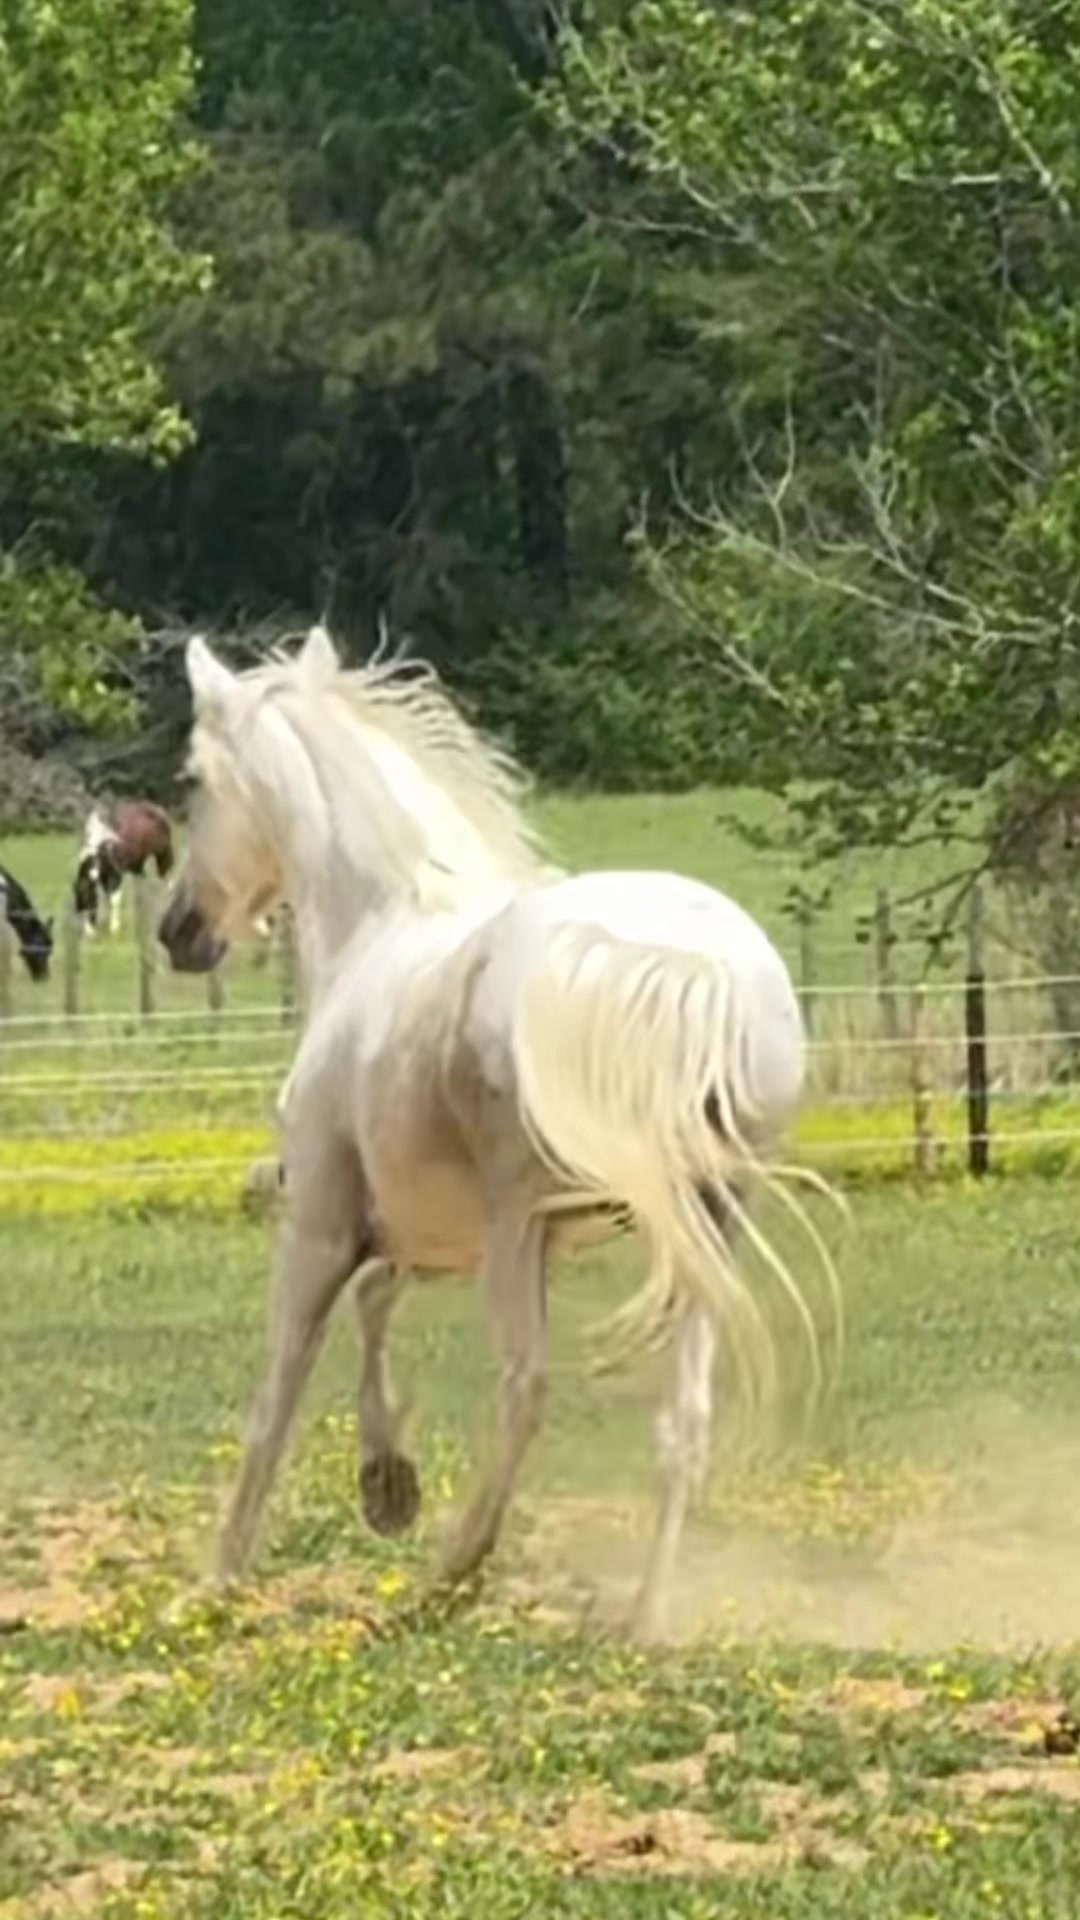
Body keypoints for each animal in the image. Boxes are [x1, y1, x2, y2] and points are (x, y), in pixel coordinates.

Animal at [73, 800, 174, 936]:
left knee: (167, 876)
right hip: (138, 862)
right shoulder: (104, 875)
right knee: (141, 881)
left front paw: (114, 928)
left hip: (164, 853)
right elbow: (108, 899)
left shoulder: (116, 874)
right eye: (80, 903)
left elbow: (114, 900)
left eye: (89, 900)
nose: (89, 934)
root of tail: (154, 806)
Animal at [159, 626, 839, 1642]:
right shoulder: (424, 1233)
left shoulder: (320, 1224)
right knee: (683, 1418)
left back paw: (455, 1572)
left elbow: (276, 1393)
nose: (179, 930)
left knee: (525, 1388)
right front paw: (386, 1487)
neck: (381, 926)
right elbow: (377, 1304)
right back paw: (645, 1617)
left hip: (525, 1224)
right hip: (708, 1220)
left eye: (194, 780)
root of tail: (687, 967)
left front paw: (215, 1579)